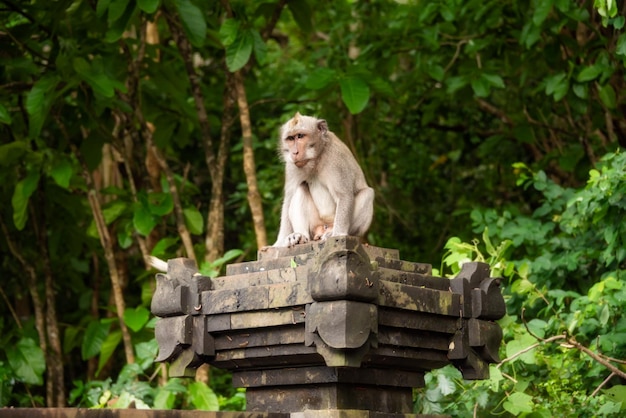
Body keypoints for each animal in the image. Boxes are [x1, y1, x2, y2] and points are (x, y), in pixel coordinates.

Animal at [272, 112, 370, 248]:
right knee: (300, 187)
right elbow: (289, 198)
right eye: (290, 138)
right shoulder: (291, 166)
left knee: (368, 193)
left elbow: (344, 195)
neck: (316, 158)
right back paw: (300, 236)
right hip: (315, 225)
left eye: (300, 136)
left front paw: (337, 234)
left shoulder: (336, 159)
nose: (294, 152)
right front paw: (280, 242)